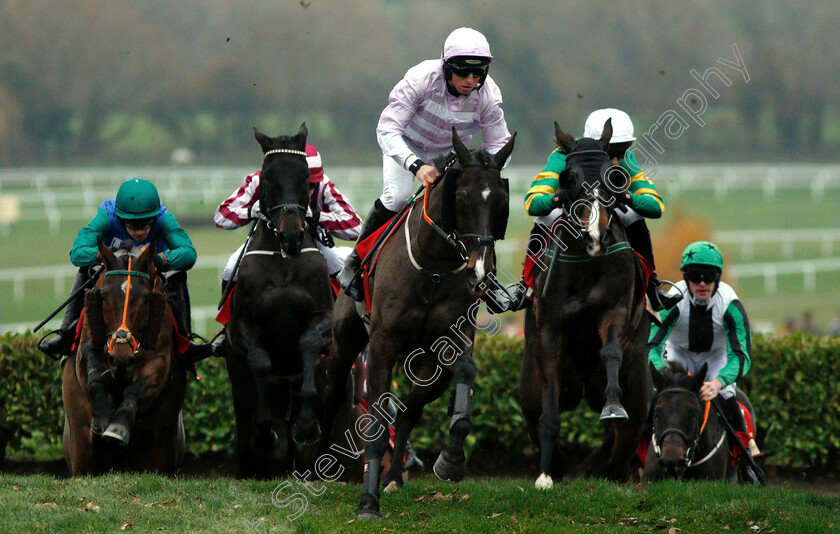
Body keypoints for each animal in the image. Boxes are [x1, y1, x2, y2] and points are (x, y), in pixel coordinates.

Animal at [62, 241, 185, 476]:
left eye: (146, 298)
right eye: (104, 296)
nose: (121, 360)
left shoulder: (160, 357)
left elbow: (139, 387)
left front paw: (118, 426)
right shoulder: (87, 342)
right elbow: (93, 371)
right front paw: (102, 413)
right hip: (81, 450)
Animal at [223, 123, 334, 480]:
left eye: (304, 177)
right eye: (268, 177)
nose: (291, 235)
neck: (283, 259)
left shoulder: (322, 318)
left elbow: (308, 343)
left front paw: (307, 425)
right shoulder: (244, 325)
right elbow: (260, 362)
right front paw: (264, 435)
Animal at [324, 130, 516, 524]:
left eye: (502, 201)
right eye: (461, 196)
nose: (480, 271)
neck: (434, 267)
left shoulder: (452, 340)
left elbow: (462, 377)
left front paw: (451, 461)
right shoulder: (382, 344)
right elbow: (376, 421)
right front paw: (367, 503)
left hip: (424, 360)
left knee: (409, 409)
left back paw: (395, 477)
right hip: (346, 339)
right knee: (334, 387)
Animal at [520, 122, 652, 490]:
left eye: (615, 177)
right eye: (568, 178)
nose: (596, 236)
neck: (585, 264)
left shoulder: (614, 311)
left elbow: (610, 350)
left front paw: (612, 405)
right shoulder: (550, 333)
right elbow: (549, 415)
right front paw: (545, 476)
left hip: (639, 389)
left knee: (623, 442)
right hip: (528, 388)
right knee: (536, 414)